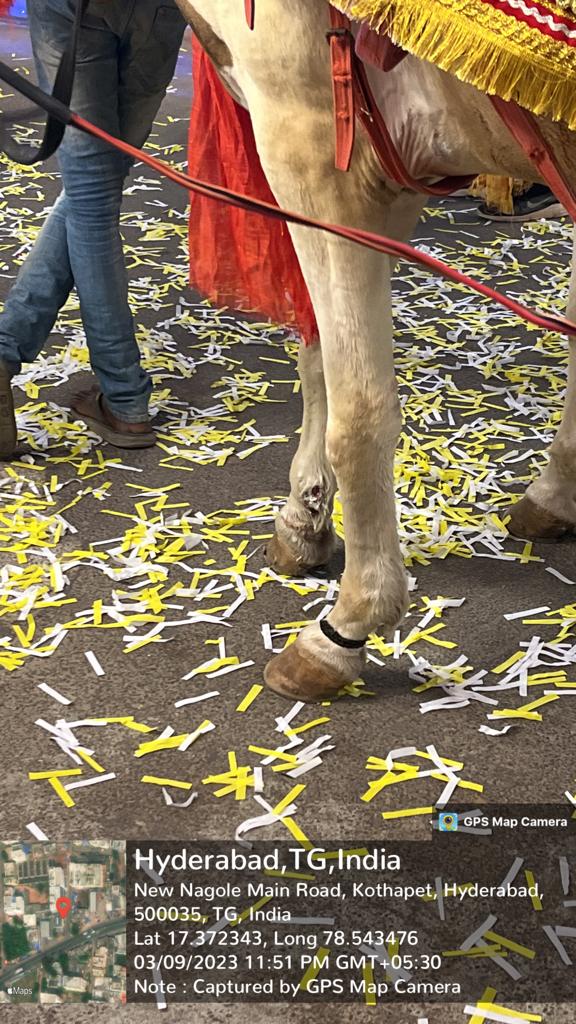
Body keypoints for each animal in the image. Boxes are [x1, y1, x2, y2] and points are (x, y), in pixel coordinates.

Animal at [176, 0, 576, 701]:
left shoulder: (308, 143)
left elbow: (359, 409)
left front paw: (347, 624)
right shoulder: (394, 165)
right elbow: (318, 358)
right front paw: (305, 517)